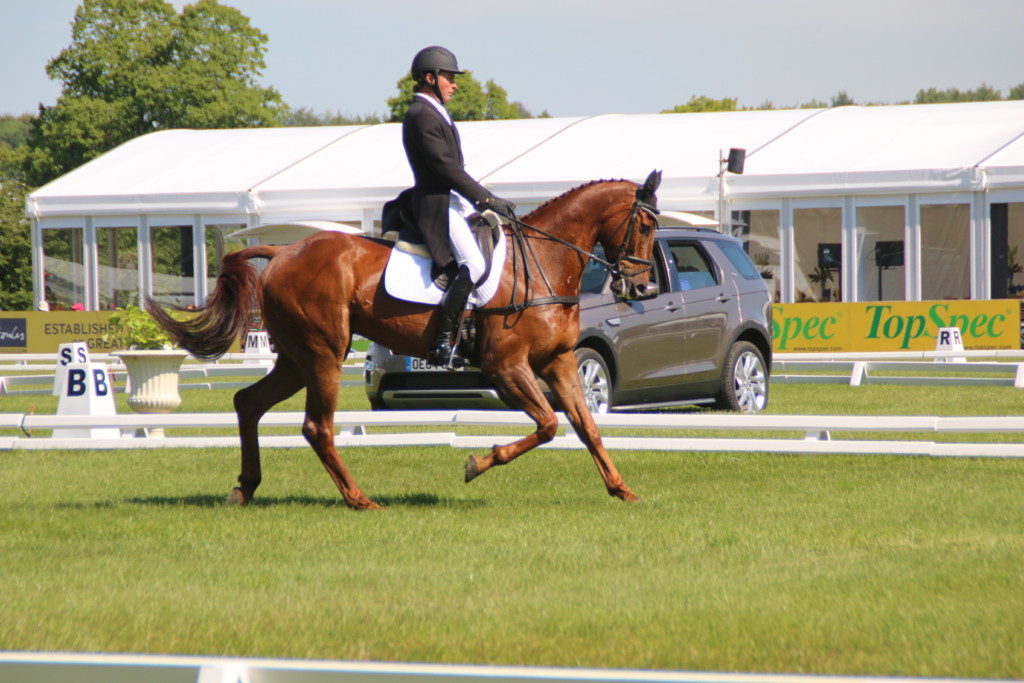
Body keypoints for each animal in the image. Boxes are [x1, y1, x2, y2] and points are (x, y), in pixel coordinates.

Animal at [149, 171, 663, 509]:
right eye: (645, 225)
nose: (643, 289)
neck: (541, 264)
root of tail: (283, 250)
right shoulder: (506, 366)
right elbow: (549, 426)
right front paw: (477, 464)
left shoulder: (558, 362)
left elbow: (586, 426)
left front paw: (622, 490)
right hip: (324, 354)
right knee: (316, 426)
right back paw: (359, 500)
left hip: (296, 357)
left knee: (248, 403)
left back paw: (245, 488)